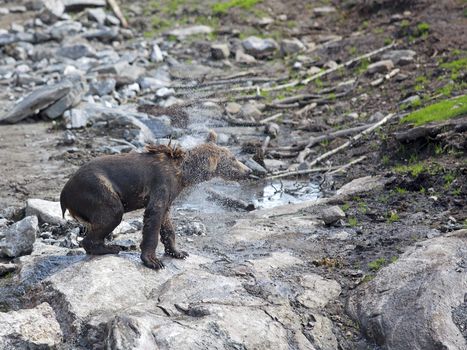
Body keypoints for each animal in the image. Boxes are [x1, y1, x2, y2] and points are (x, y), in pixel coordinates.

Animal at [60, 133, 250, 270]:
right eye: (233, 158)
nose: (248, 170)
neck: (183, 175)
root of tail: (64, 193)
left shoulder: (169, 194)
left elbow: (167, 223)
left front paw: (178, 252)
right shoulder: (161, 183)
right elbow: (153, 216)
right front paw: (153, 261)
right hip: (95, 189)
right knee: (111, 213)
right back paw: (110, 247)